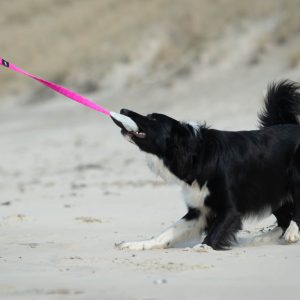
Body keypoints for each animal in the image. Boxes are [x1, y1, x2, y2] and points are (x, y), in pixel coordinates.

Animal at [110, 80, 300, 251]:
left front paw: (202, 247)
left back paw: (291, 233)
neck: (197, 155)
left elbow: (215, 232)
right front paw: (139, 244)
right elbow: (168, 232)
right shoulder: (199, 210)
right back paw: (265, 238)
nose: (122, 110)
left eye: (152, 118)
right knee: (283, 218)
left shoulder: (229, 208)